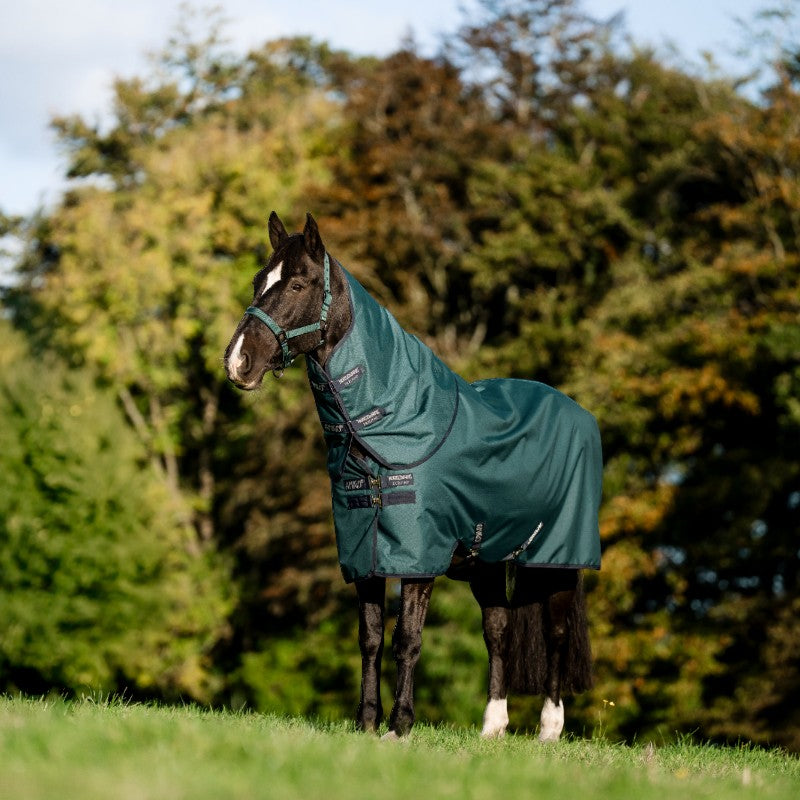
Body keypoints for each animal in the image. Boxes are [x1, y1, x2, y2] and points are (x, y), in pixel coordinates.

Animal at [224, 212, 602, 741]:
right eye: (259, 281)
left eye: (297, 283)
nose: (238, 361)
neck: (394, 422)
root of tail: (579, 414)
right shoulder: (365, 553)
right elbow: (370, 638)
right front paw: (366, 722)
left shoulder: (418, 560)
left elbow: (408, 638)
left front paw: (399, 726)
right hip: (488, 561)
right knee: (499, 631)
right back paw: (492, 726)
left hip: (557, 561)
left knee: (557, 632)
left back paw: (549, 728)